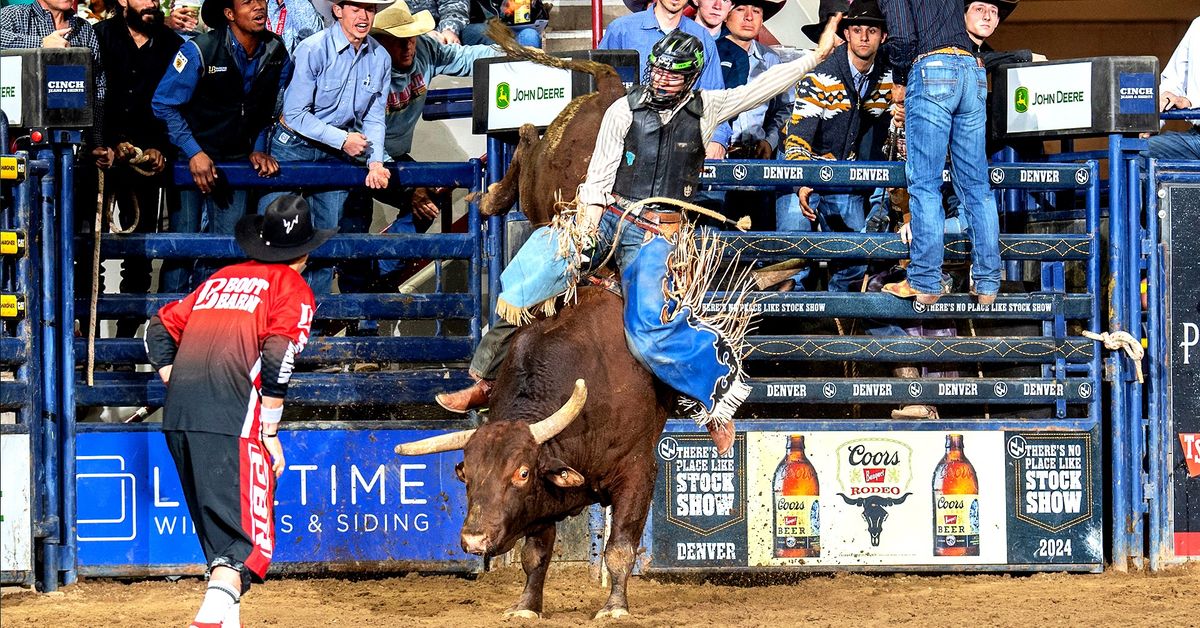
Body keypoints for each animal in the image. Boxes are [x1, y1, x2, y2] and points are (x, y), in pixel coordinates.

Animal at [398, 289, 672, 619]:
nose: (474, 539)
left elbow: (619, 548)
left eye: (523, 472)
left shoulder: (637, 472)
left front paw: (614, 608)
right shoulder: (540, 506)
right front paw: (526, 606)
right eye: (467, 475)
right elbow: (534, 556)